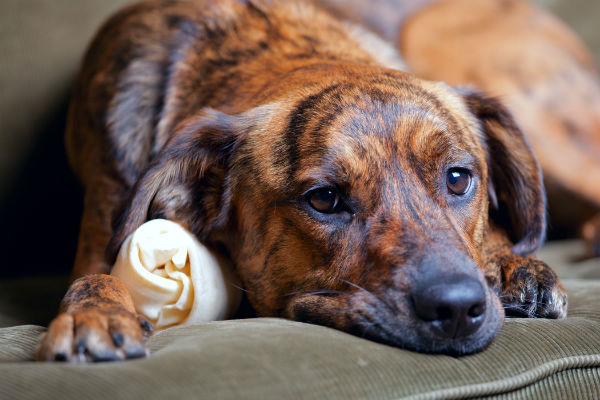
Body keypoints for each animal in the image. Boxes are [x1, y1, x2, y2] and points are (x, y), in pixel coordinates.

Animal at [36, 0, 568, 362]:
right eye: (325, 199)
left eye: (458, 179)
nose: (457, 308)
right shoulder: (102, 234)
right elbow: (96, 276)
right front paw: (95, 311)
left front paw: (508, 262)